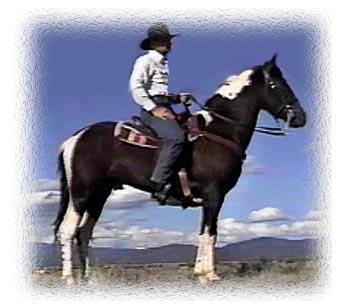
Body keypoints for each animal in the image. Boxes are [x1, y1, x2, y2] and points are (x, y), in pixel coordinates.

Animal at [53, 53, 306, 284]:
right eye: (276, 84)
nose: (301, 118)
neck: (219, 131)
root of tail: (74, 139)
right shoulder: (213, 195)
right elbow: (210, 233)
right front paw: (209, 274)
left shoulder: (212, 198)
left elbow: (206, 232)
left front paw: (200, 272)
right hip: (81, 193)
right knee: (68, 231)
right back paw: (69, 278)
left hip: (100, 195)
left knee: (84, 233)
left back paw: (87, 277)